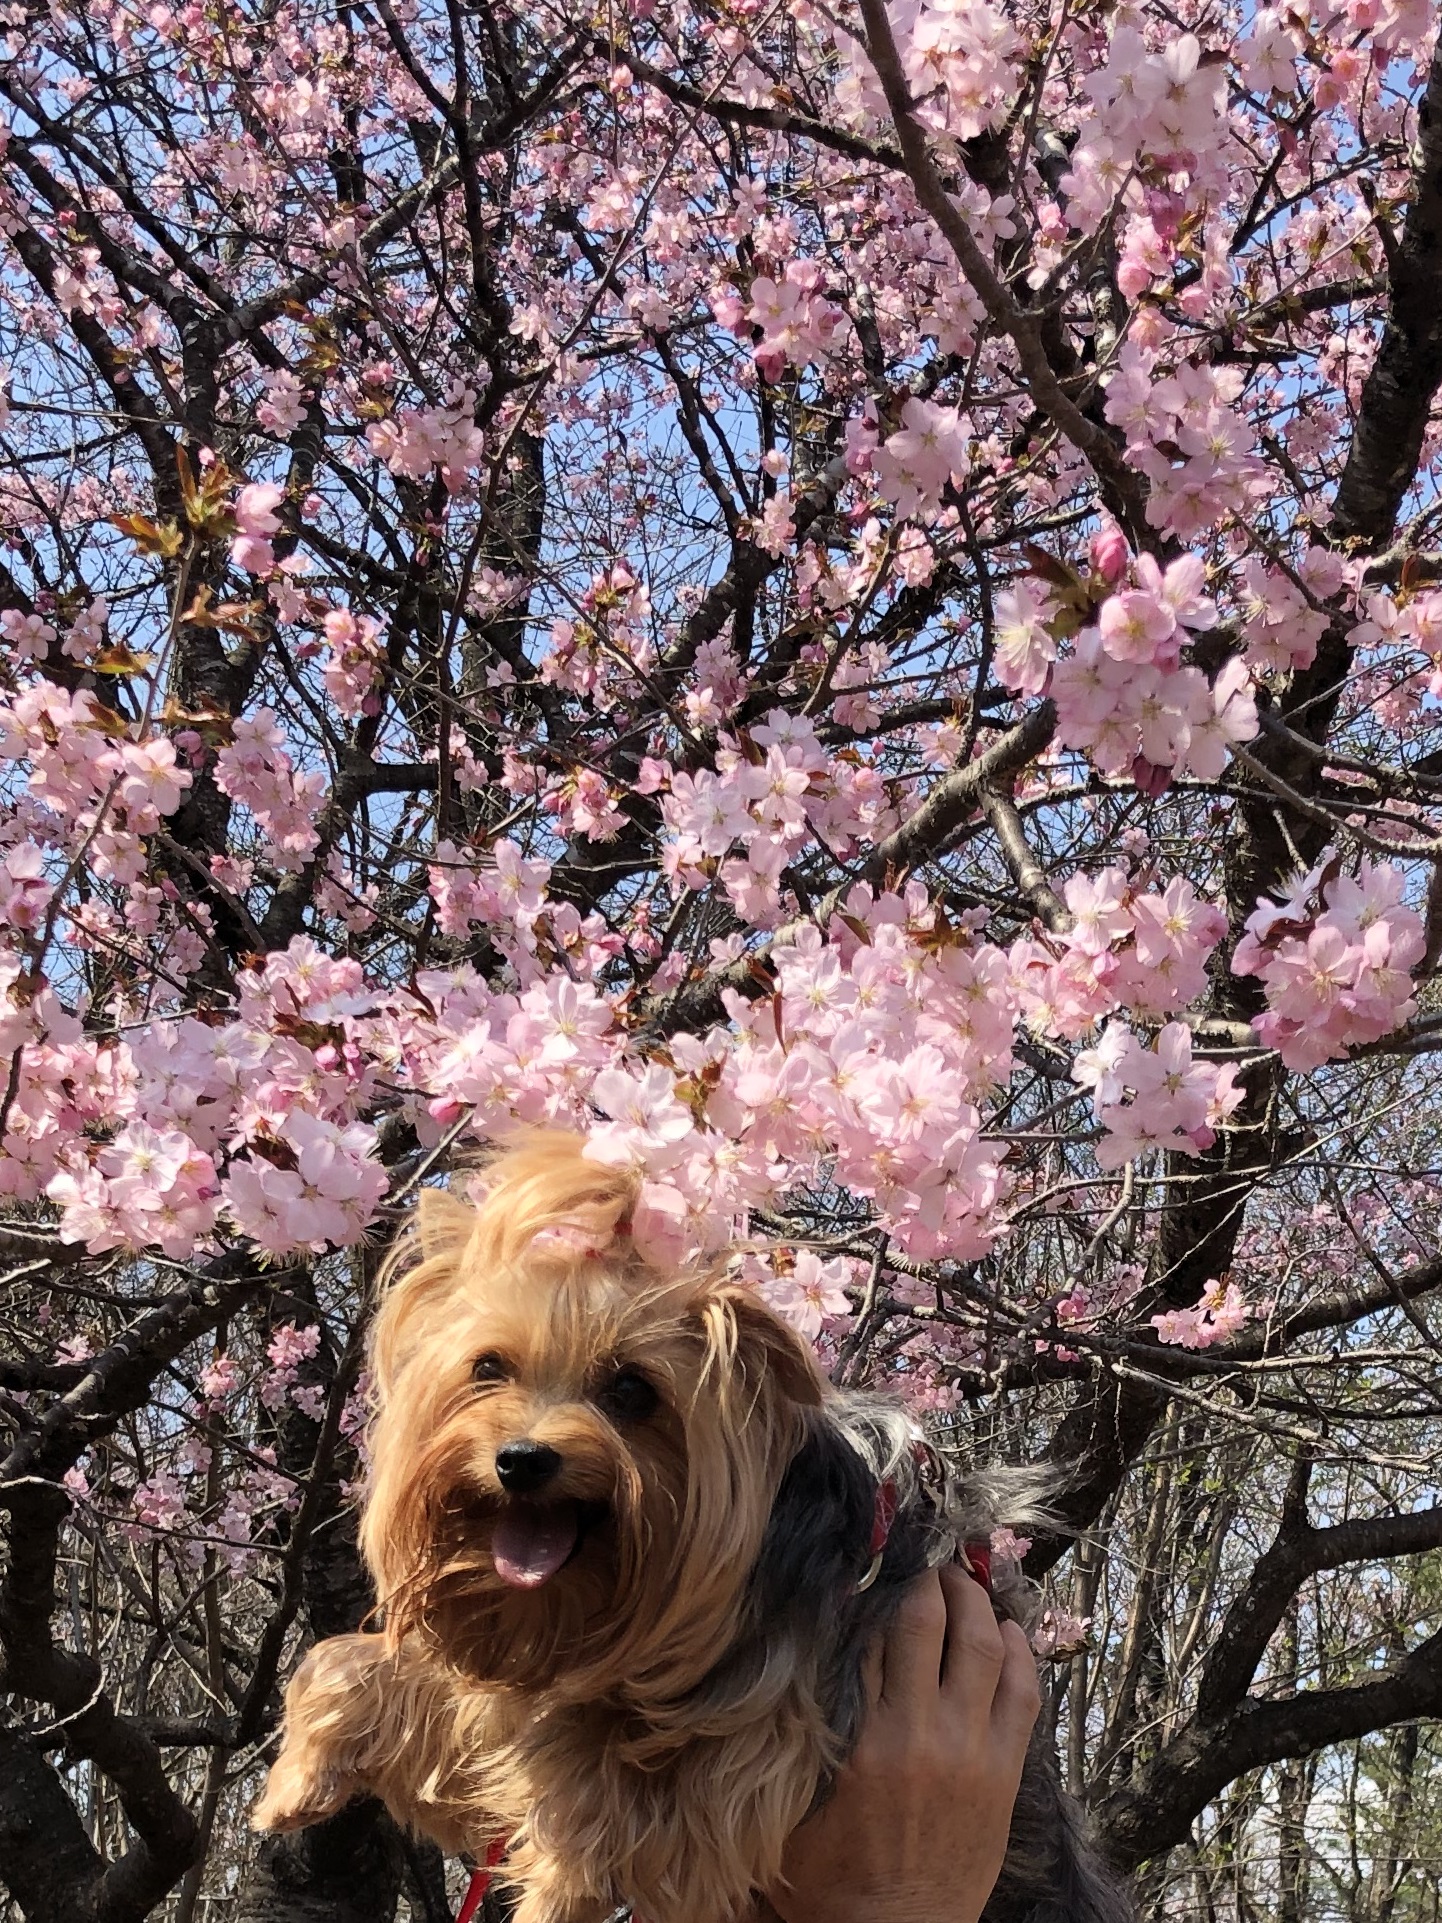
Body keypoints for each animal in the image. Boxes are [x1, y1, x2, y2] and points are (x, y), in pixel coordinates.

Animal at [253, 1132, 1131, 1923]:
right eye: (487, 1368)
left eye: (633, 1390)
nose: (523, 1458)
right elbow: (372, 1667)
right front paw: (295, 1781)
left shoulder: (743, 1764)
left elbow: (604, 1813)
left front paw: (552, 1889)